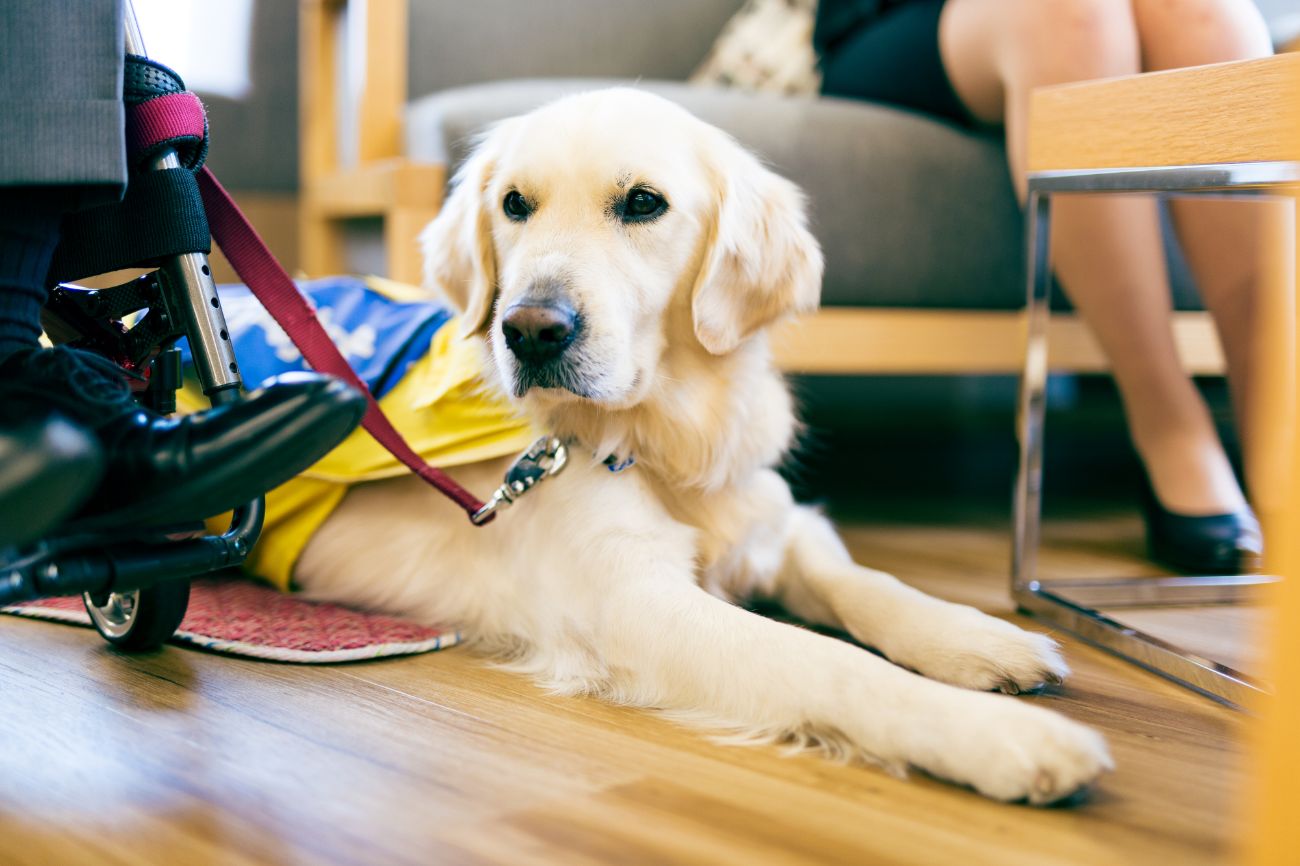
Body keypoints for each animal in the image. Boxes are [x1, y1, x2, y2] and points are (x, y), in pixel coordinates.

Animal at [299, 89, 1112, 800]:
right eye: (514, 205)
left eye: (642, 202)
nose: (530, 330)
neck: (667, 440)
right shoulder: (631, 605)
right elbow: (827, 661)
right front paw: (1000, 735)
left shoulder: (776, 521)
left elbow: (869, 584)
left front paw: (980, 637)